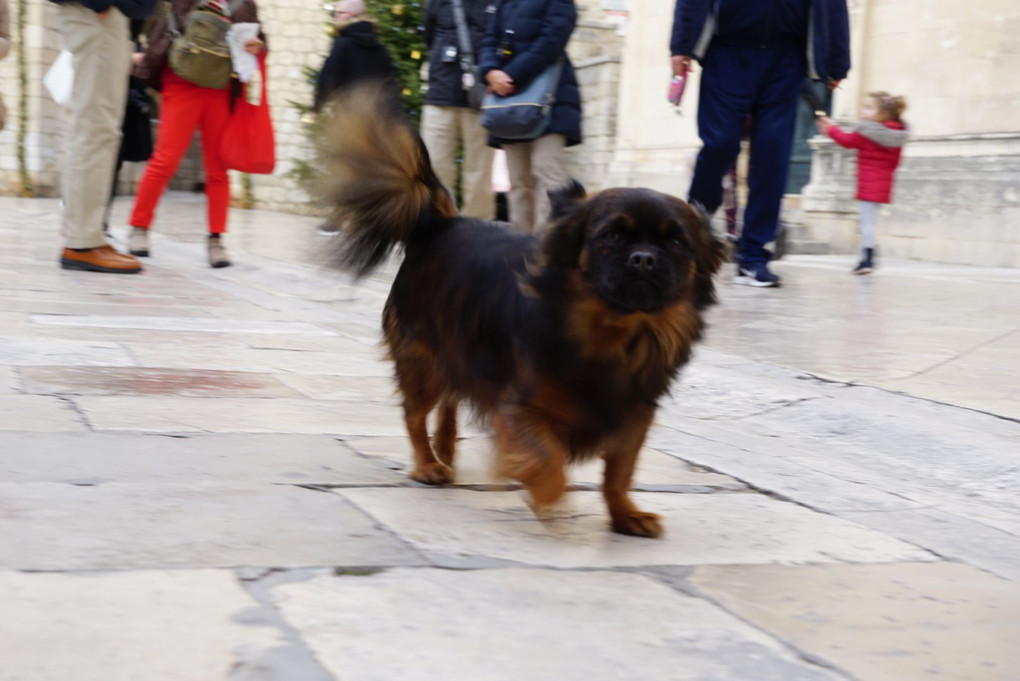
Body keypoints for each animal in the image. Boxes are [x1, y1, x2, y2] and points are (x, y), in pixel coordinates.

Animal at [318, 87, 726, 538]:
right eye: (611, 237)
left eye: (676, 243)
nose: (643, 259)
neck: (615, 333)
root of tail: (441, 224)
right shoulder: (519, 406)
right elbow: (547, 459)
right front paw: (545, 494)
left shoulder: (634, 415)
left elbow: (619, 473)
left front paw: (624, 514)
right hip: (424, 361)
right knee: (414, 413)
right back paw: (427, 464)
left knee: (449, 404)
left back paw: (446, 451)